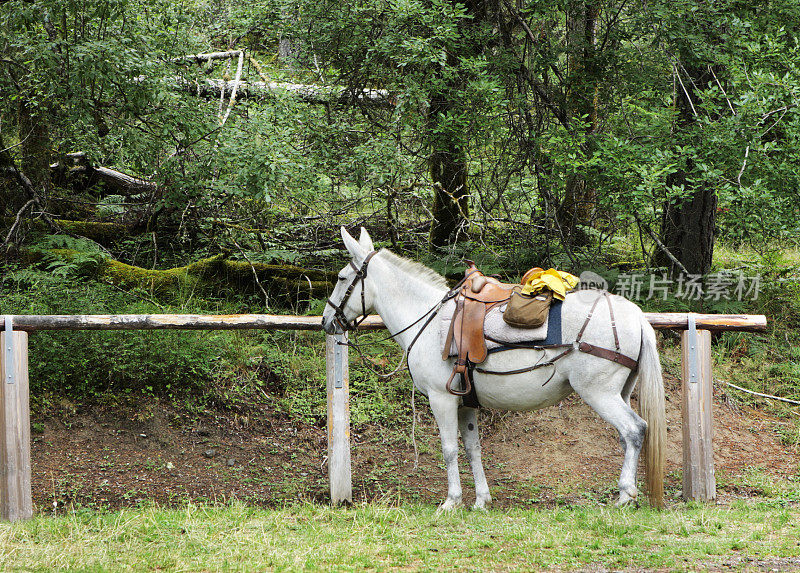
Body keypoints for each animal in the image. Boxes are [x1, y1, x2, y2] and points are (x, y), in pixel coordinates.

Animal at [322, 226, 664, 508]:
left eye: (341, 278)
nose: (327, 321)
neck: (428, 318)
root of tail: (637, 316)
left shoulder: (441, 399)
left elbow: (449, 449)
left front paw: (452, 502)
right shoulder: (465, 403)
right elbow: (473, 449)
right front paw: (480, 500)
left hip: (599, 393)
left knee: (634, 430)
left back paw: (625, 495)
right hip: (620, 392)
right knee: (627, 436)